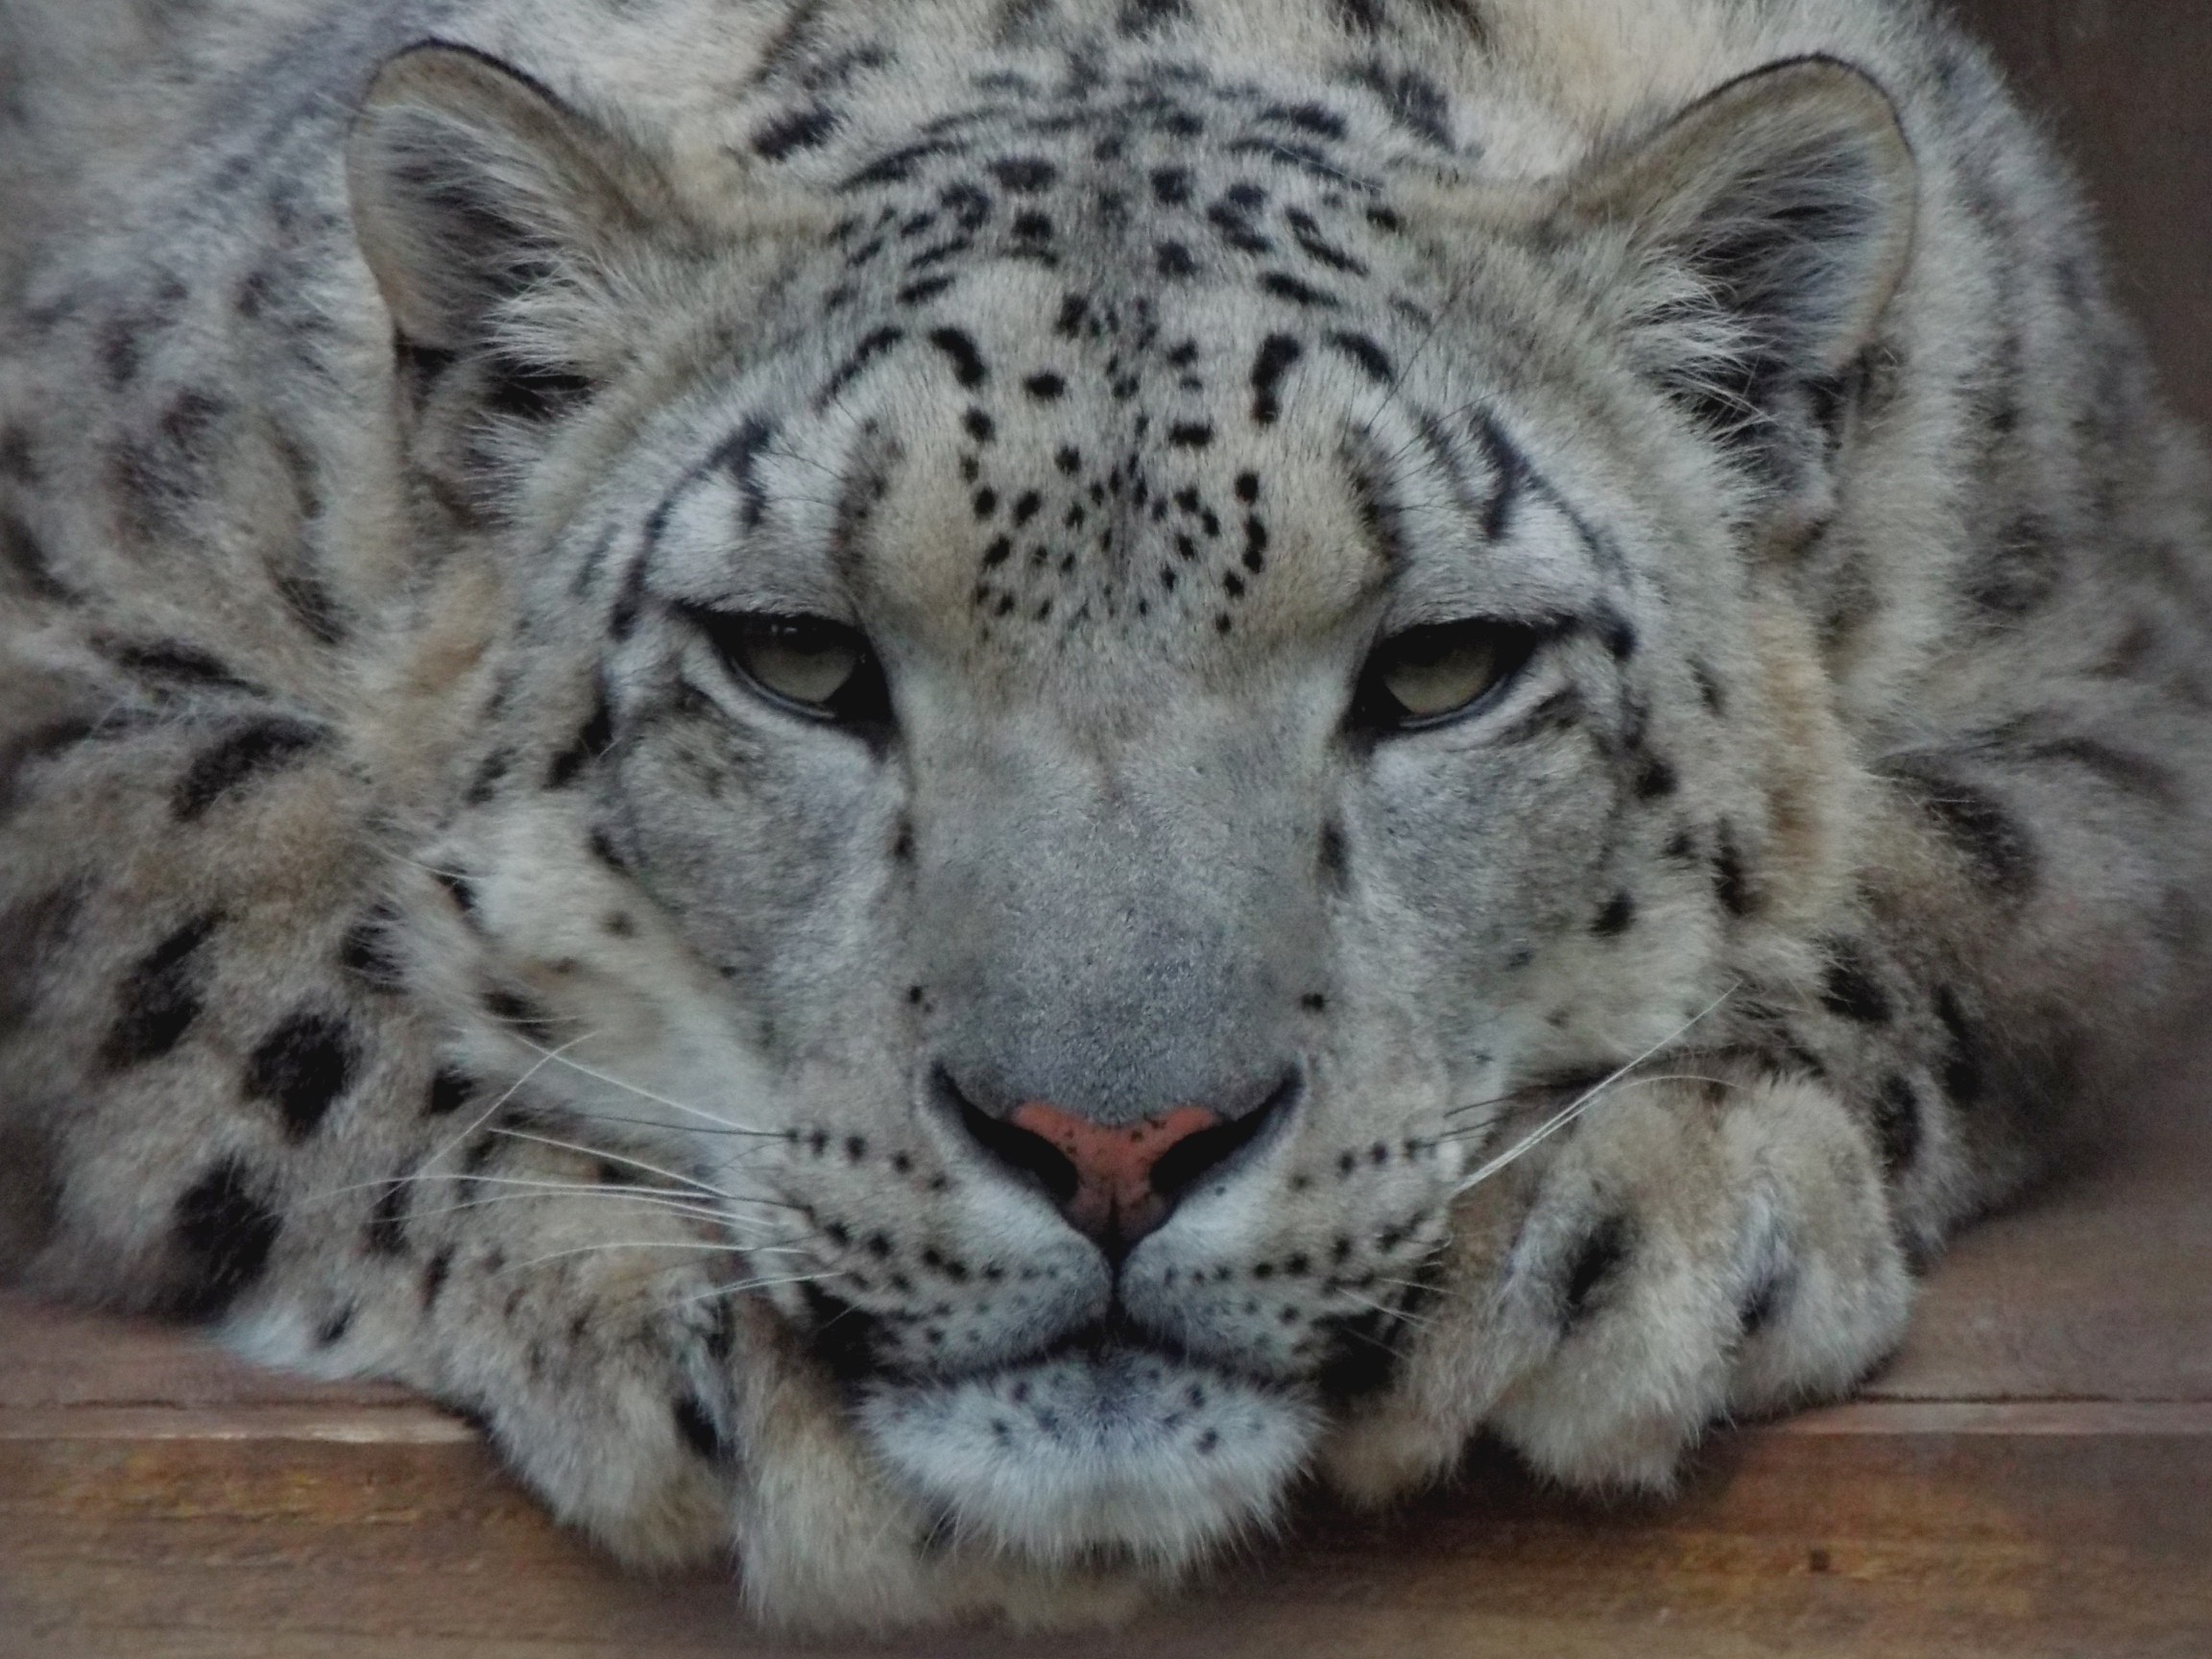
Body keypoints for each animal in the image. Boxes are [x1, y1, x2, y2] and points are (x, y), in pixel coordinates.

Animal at [3, 0, 2209, 1632]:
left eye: (1443, 669)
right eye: (793, 658)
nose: (1116, 1146)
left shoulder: (2102, 668)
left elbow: (1938, 876)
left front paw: (1632, 1208)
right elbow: (290, 899)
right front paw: (658, 1289)